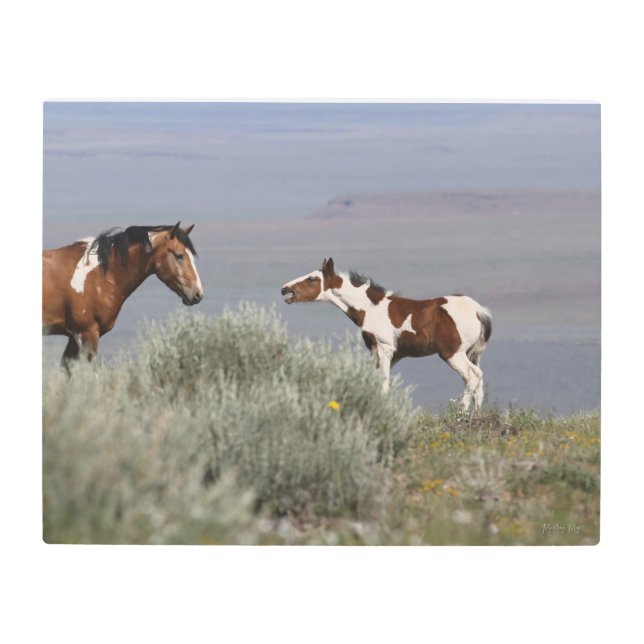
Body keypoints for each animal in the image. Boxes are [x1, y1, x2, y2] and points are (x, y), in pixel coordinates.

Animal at [281, 257, 492, 411]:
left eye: (312, 278)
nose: (285, 289)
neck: (370, 308)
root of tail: (478, 310)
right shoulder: (387, 354)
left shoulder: (383, 349)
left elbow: (383, 384)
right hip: (470, 354)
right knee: (479, 380)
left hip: (452, 353)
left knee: (472, 376)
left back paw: (460, 413)